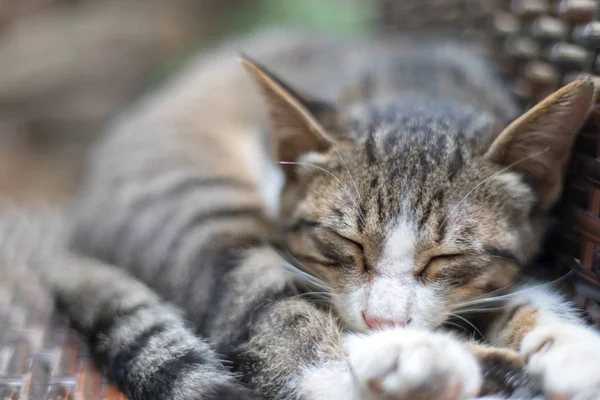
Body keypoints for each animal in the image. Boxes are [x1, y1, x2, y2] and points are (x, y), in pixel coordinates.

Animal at [4, 29, 600, 398]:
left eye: (446, 257)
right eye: (350, 244)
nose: (383, 321)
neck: (418, 83)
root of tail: (77, 233)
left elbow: (520, 293)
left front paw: (567, 345)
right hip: (188, 195)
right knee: (274, 330)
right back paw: (423, 360)